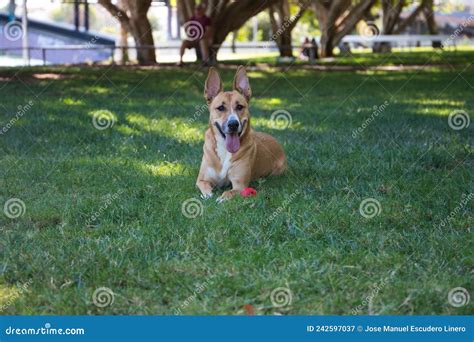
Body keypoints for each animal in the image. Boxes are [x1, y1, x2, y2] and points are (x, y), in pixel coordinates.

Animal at [195, 65, 286, 202]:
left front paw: (221, 198)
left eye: (240, 107)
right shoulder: (201, 180)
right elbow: (204, 187)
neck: (225, 149)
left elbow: (229, 192)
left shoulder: (240, 185)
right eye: (220, 108)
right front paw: (208, 195)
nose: (233, 124)